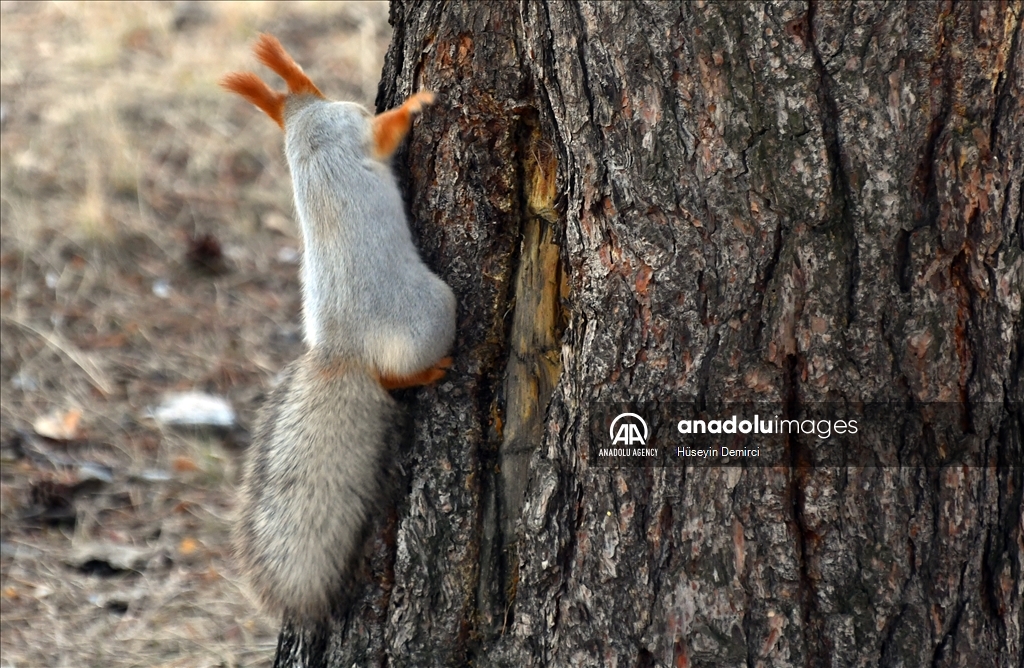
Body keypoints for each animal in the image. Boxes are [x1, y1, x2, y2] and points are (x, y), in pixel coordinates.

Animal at [221, 35, 456, 622]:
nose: (322, 90)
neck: (304, 138)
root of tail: (342, 353)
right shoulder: (357, 135)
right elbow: (387, 132)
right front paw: (417, 102)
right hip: (437, 310)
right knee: (394, 377)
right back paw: (432, 370)